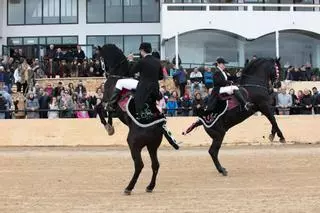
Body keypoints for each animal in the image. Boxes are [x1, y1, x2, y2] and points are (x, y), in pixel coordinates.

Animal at [95, 44, 180, 196]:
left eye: (99, 57)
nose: (99, 70)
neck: (118, 76)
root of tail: (157, 126)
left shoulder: (106, 101)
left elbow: (99, 109)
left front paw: (108, 128)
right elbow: (107, 113)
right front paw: (110, 126)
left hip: (134, 144)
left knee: (139, 165)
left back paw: (129, 187)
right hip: (152, 146)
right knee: (155, 164)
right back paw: (150, 186)